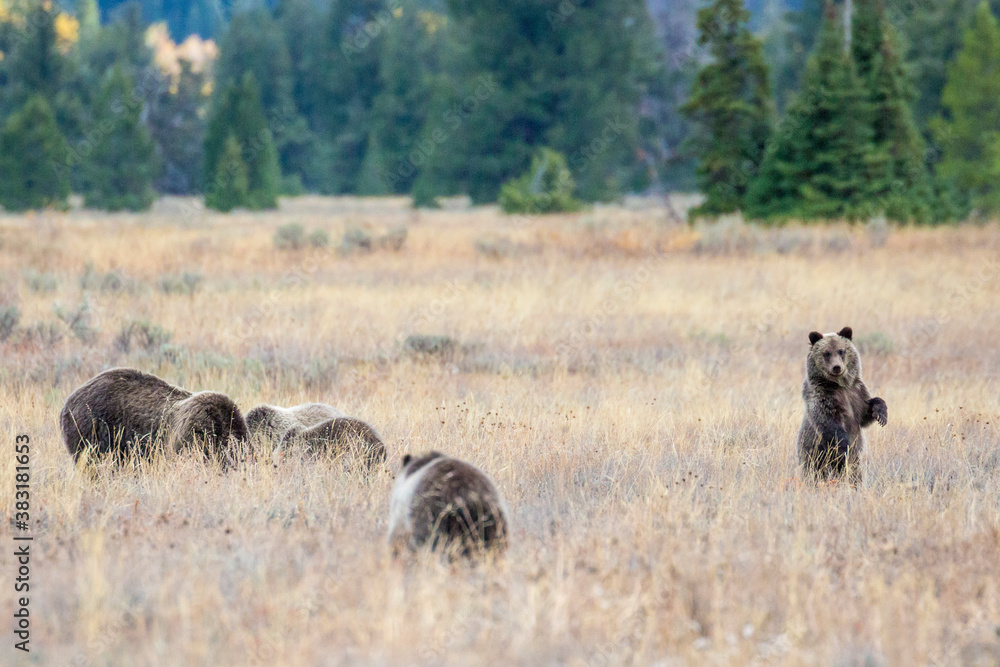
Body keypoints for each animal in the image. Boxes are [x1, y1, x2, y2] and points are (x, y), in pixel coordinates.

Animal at [797, 327, 887, 484]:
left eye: (841, 351)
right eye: (827, 353)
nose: (837, 367)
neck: (839, 385)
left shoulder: (856, 393)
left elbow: (865, 413)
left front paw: (881, 415)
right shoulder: (823, 396)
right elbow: (830, 423)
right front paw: (845, 447)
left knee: (855, 473)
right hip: (813, 453)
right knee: (817, 471)